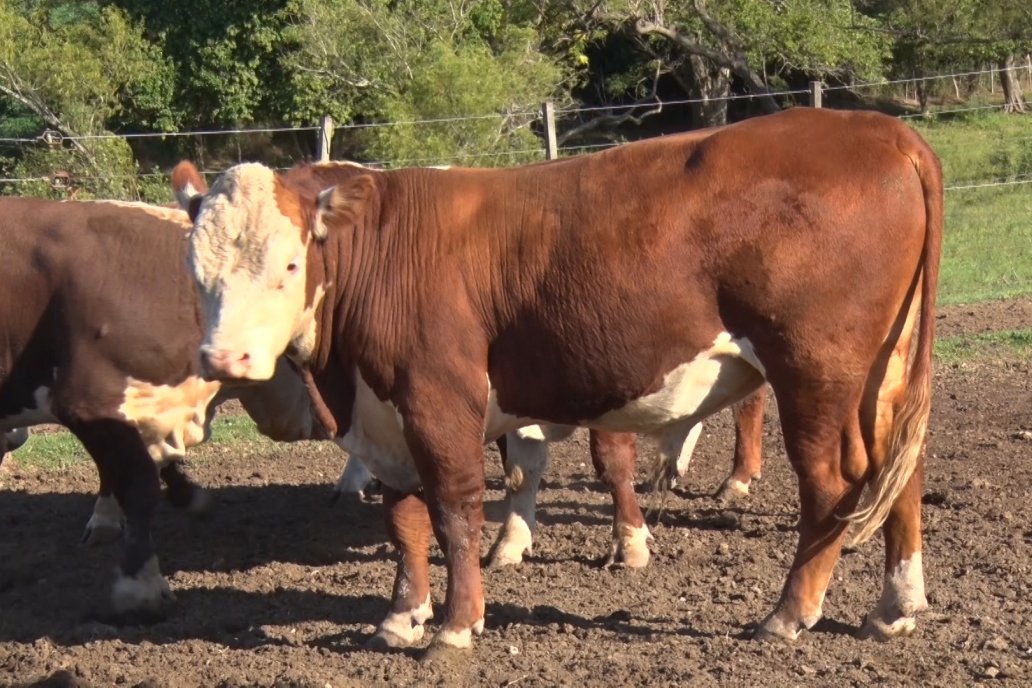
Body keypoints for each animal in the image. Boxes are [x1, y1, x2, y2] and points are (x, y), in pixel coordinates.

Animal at [0, 194, 321, 618]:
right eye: (299, 359)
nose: (318, 423)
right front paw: (141, 586)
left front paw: (186, 496)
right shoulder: (91, 403)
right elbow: (138, 485)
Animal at [181, 108, 941, 656]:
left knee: (834, 483)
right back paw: (895, 607)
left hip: (814, 372)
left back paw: (787, 613)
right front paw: (401, 616)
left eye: (287, 263)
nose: (225, 359)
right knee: (900, 471)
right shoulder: (383, 416)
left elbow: (453, 510)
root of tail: (883, 130)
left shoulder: (437, 400)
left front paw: (455, 626)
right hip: (885, 373)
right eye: (197, 269)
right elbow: (404, 517)